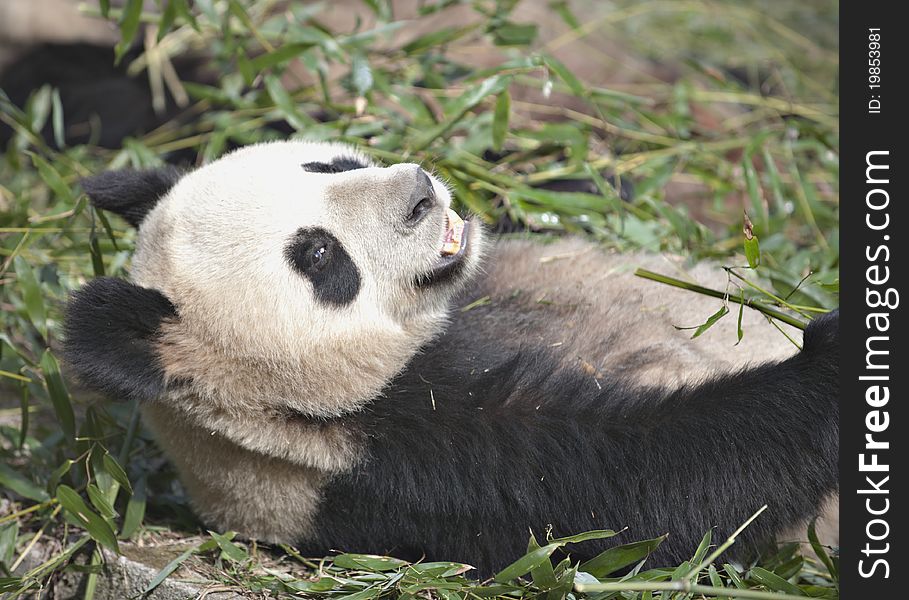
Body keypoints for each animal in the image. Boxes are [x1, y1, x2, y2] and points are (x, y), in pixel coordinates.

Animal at [63, 139, 836, 572]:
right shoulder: (403, 460)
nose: (419, 192)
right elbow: (659, 485)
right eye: (319, 255)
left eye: (330, 164)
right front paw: (830, 357)